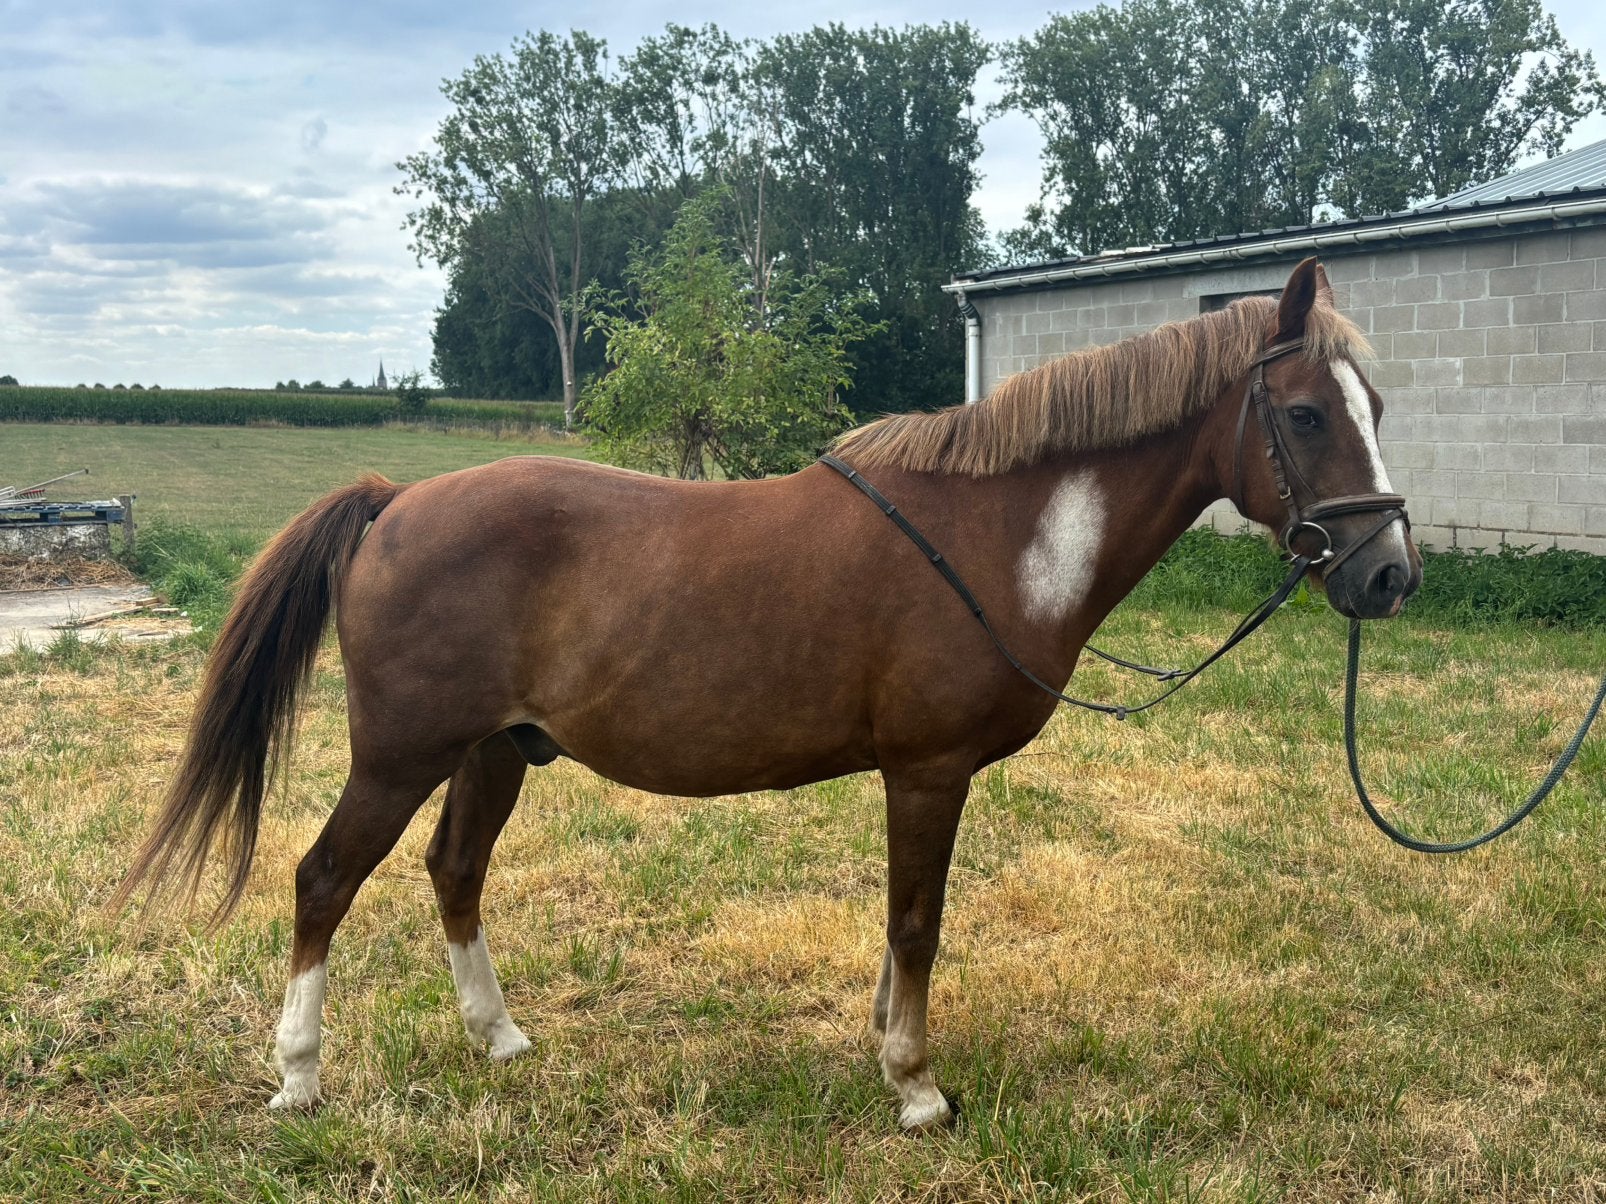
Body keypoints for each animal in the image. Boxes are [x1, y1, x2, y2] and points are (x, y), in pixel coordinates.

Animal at [113, 257, 1420, 1129]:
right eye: (1306, 413)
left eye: (1378, 409)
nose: (1389, 572)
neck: (1000, 533)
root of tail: (394, 504)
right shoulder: (926, 772)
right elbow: (916, 922)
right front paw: (916, 1087)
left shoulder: (914, 778)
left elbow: (899, 928)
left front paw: (887, 1048)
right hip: (400, 755)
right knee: (324, 878)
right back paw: (298, 1076)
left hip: (494, 749)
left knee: (454, 874)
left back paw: (501, 1040)